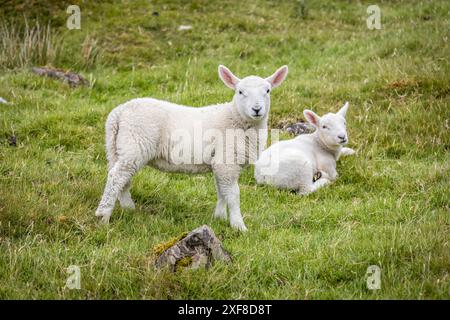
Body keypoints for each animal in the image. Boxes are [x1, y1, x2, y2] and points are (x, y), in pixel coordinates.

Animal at [96, 64, 290, 230]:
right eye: (240, 91)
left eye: (267, 91)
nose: (257, 109)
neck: (235, 118)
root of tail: (118, 113)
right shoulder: (226, 162)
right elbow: (233, 194)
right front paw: (238, 225)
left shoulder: (219, 163)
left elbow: (221, 192)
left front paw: (219, 218)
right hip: (135, 144)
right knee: (116, 177)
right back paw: (103, 216)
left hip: (116, 147)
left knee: (120, 178)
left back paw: (128, 208)